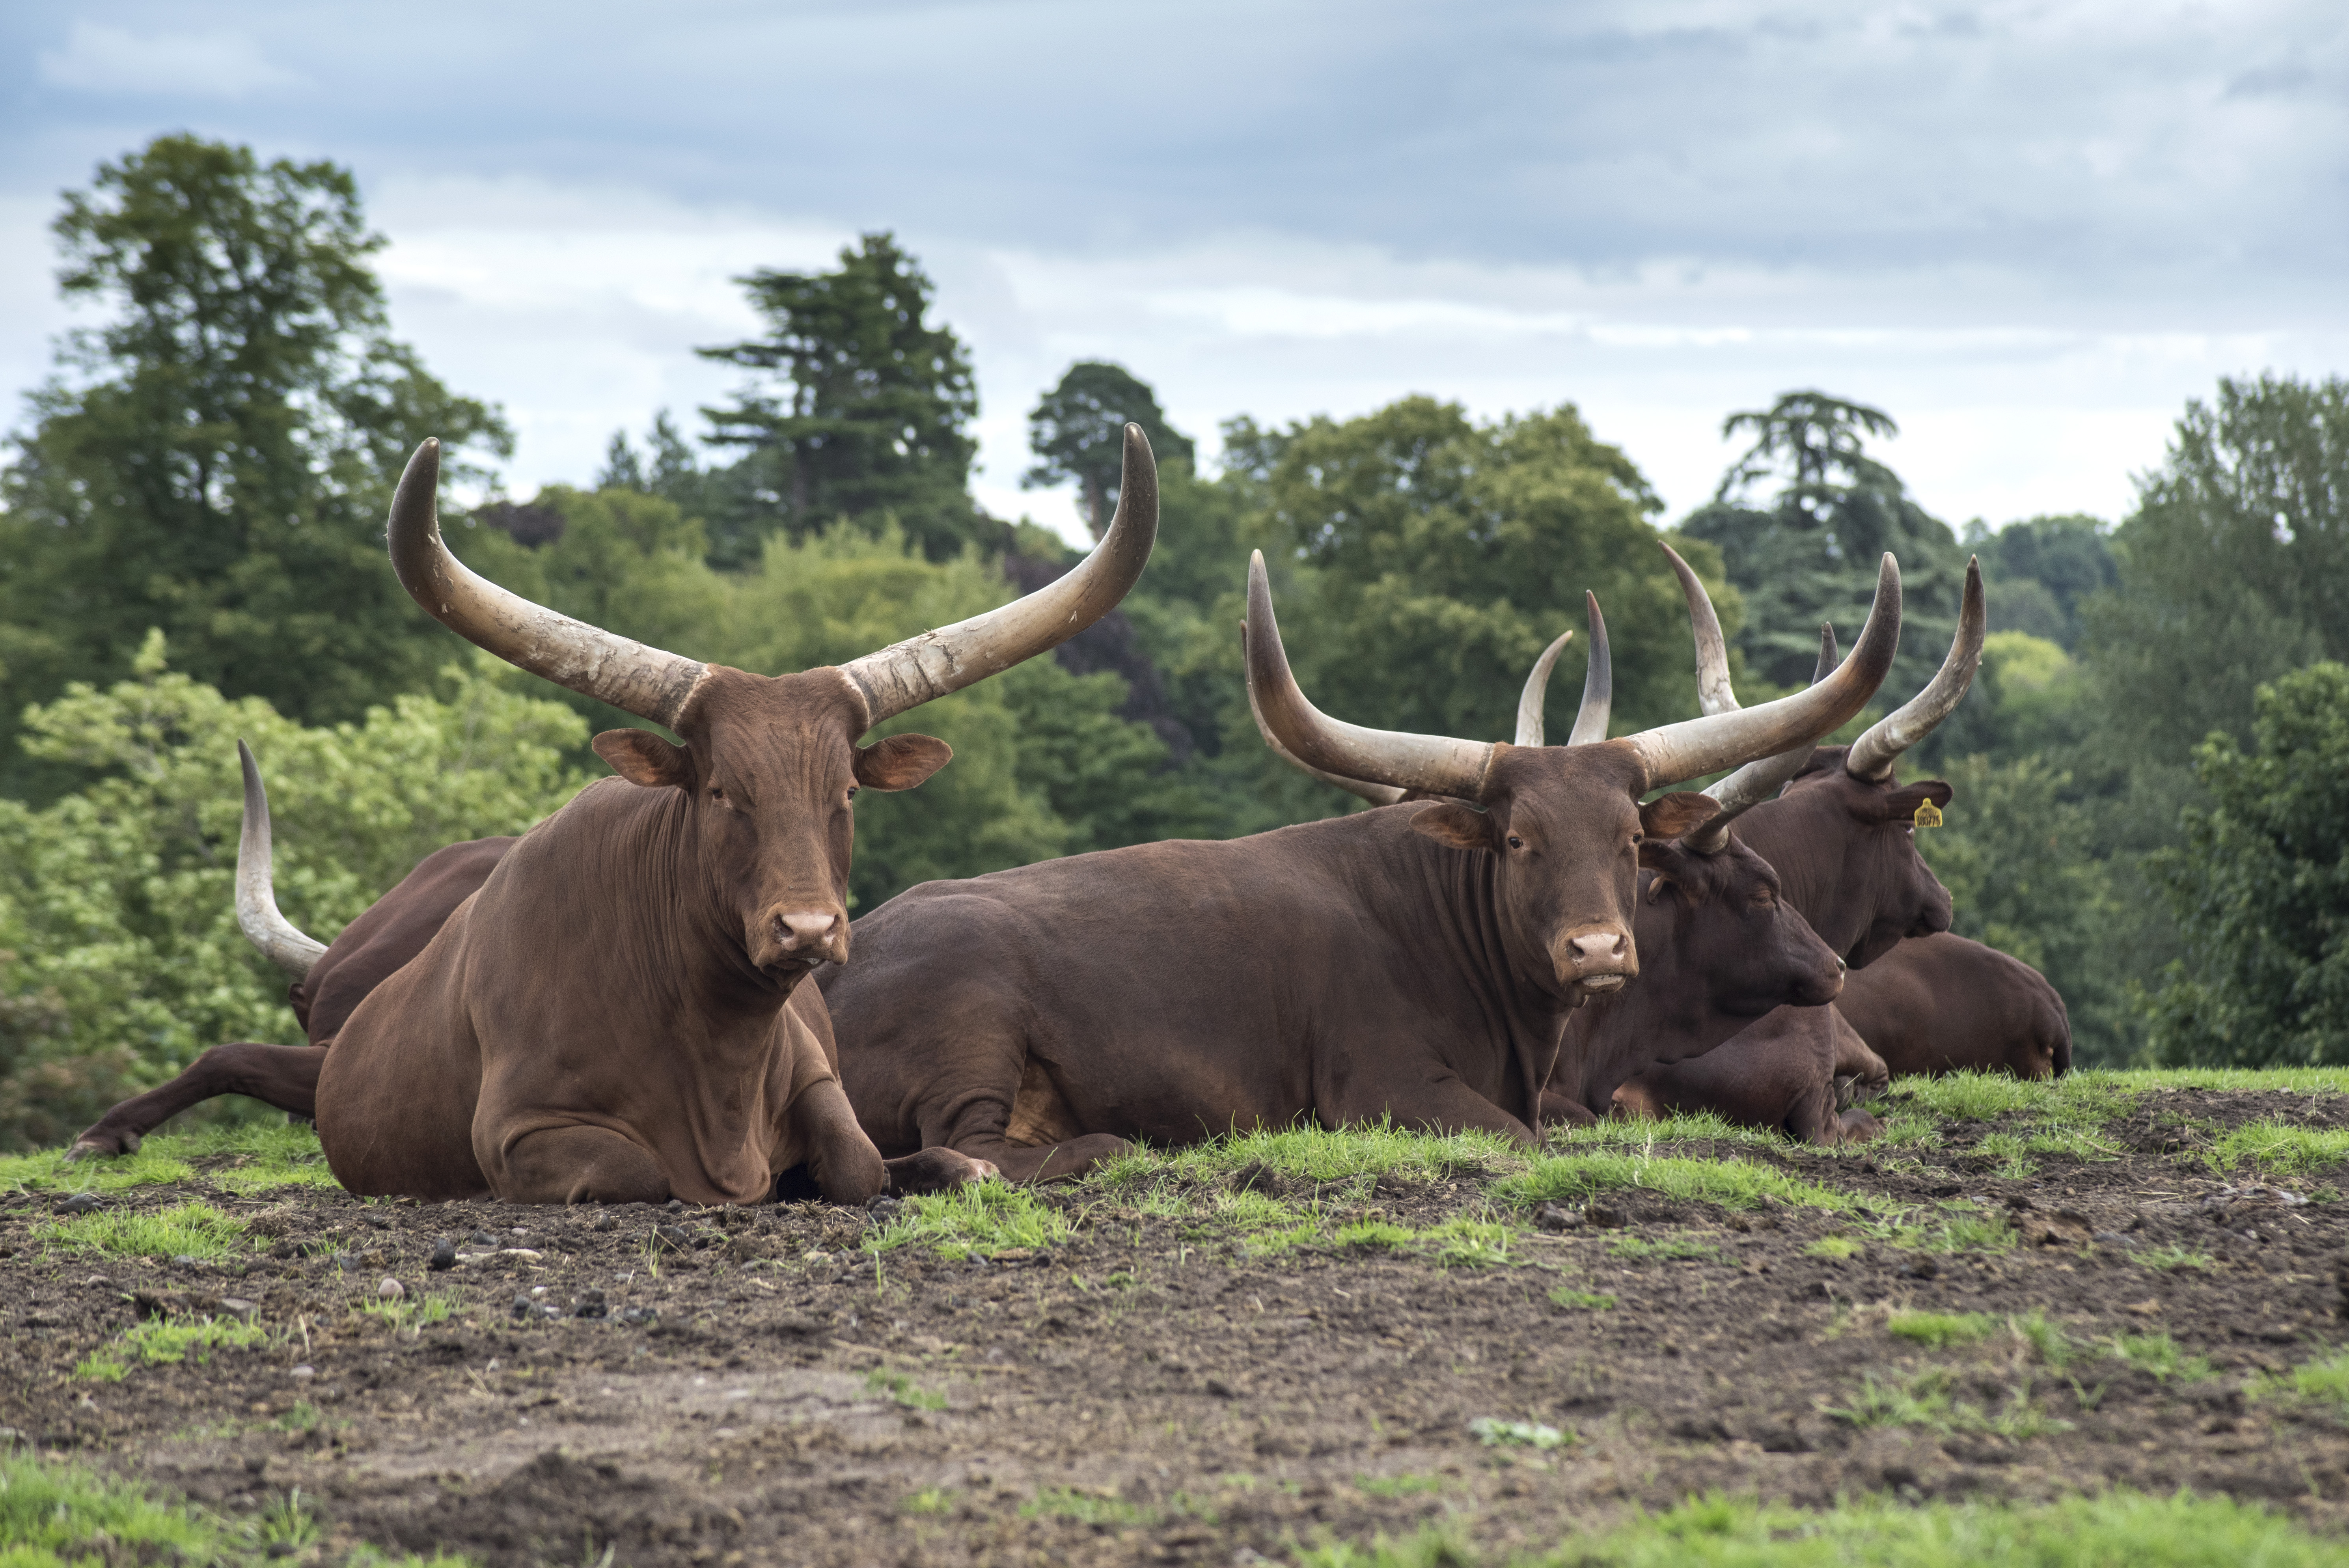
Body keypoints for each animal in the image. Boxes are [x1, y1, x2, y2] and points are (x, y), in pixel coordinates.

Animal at [73, 427, 1162, 1205]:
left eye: (844, 793)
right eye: (721, 790)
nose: (808, 929)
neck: (714, 1046)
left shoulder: (826, 1088)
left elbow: (866, 1164)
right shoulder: (522, 1135)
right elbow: (649, 1173)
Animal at [817, 548, 1908, 1181]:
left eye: (1630, 840)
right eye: (1520, 840)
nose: (1598, 951)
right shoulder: (1387, 1090)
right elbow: (1519, 1140)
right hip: (975, 1026)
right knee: (969, 1153)